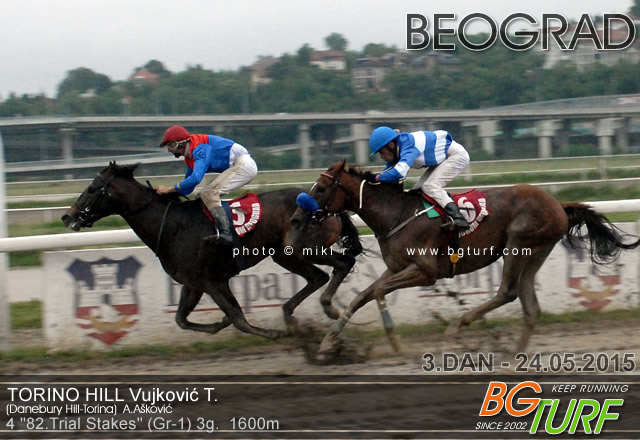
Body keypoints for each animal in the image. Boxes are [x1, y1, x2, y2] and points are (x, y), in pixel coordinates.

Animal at [61, 161, 362, 340]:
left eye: (92, 189)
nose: (67, 216)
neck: (171, 226)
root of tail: (327, 204)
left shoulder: (214, 280)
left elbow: (239, 319)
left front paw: (273, 334)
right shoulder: (193, 283)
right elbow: (182, 319)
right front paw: (218, 324)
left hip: (304, 247)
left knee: (343, 263)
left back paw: (328, 310)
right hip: (285, 254)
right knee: (318, 277)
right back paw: (291, 314)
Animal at [306, 160, 640, 354]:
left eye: (320, 187)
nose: (303, 212)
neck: (396, 213)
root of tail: (558, 203)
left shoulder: (425, 271)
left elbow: (376, 292)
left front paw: (394, 340)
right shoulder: (397, 267)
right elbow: (362, 295)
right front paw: (328, 339)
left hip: (518, 243)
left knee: (508, 292)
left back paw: (457, 326)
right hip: (537, 251)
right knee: (530, 305)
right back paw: (514, 356)